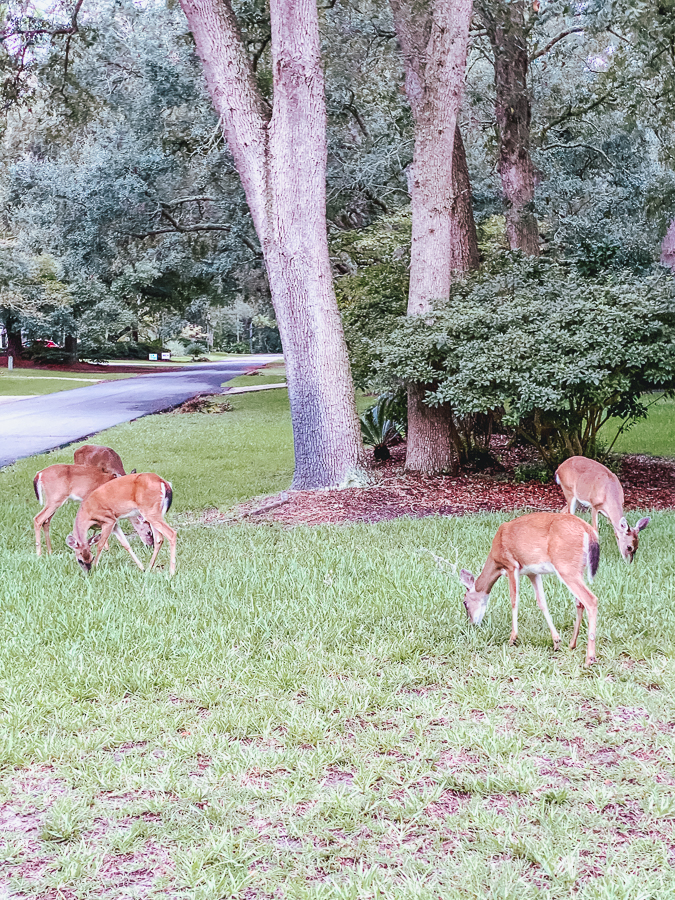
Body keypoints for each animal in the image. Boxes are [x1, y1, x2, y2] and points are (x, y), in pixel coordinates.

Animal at [460, 510, 604, 664]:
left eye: (465, 602)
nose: (472, 623)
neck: (496, 560)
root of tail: (589, 530)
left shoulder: (511, 565)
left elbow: (514, 600)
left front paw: (512, 638)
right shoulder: (532, 572)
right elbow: (542, 602)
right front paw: (556, 642)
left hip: (565, 566)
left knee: (591, 600)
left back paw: (589, 658)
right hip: (577, 569)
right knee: (579, 602)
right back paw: (572, 644)